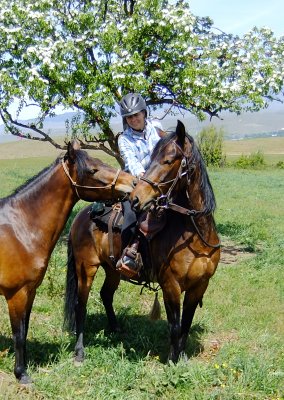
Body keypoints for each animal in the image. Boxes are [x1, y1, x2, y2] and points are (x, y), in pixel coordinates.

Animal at [0, 141, 134, 384]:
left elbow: (24, 329)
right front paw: (21, 373)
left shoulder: (30, 291)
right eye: (92, 170)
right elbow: (18, 333)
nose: (133, 183)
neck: (19, 228)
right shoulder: (16, 294)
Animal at [65, 120, 222, 364]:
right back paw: (80, 351)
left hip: (112, 269)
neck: (195, 235)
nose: (136, 198)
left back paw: (116, 329)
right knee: (80, 305)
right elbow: (175, 326)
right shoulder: (171, 286)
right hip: (86, 268)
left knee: (106, 294)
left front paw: (182, 356)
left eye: (168, 160)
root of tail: (80, 218)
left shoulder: (199, 286)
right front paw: (172, 360)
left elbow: (186, 325)